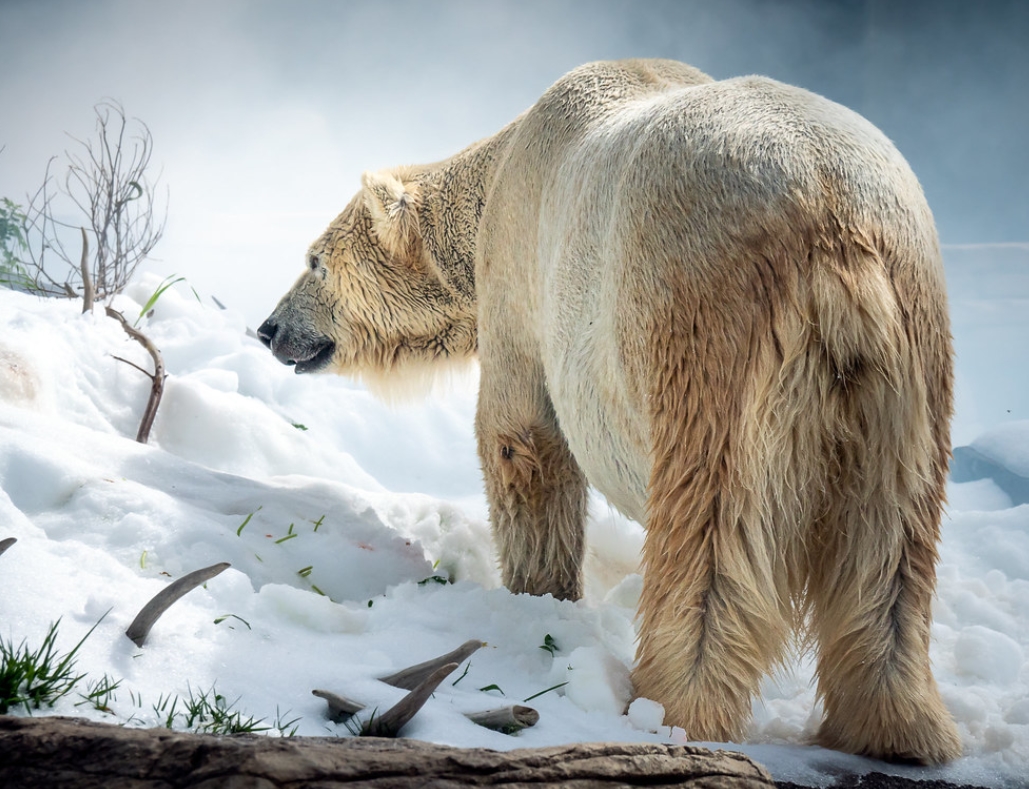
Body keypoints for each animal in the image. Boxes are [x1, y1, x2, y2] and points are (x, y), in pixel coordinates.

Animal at [258, 59, 960, 764]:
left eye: (315, 261)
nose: (268, 329)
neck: (498, 168)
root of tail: (831, 216)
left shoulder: (522, 278)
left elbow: (522, 436)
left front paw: (538, 599)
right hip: (908, 356)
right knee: (892, 541)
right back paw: (895, 727)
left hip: (705, 320)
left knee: (709, 524)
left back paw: (670, 706)